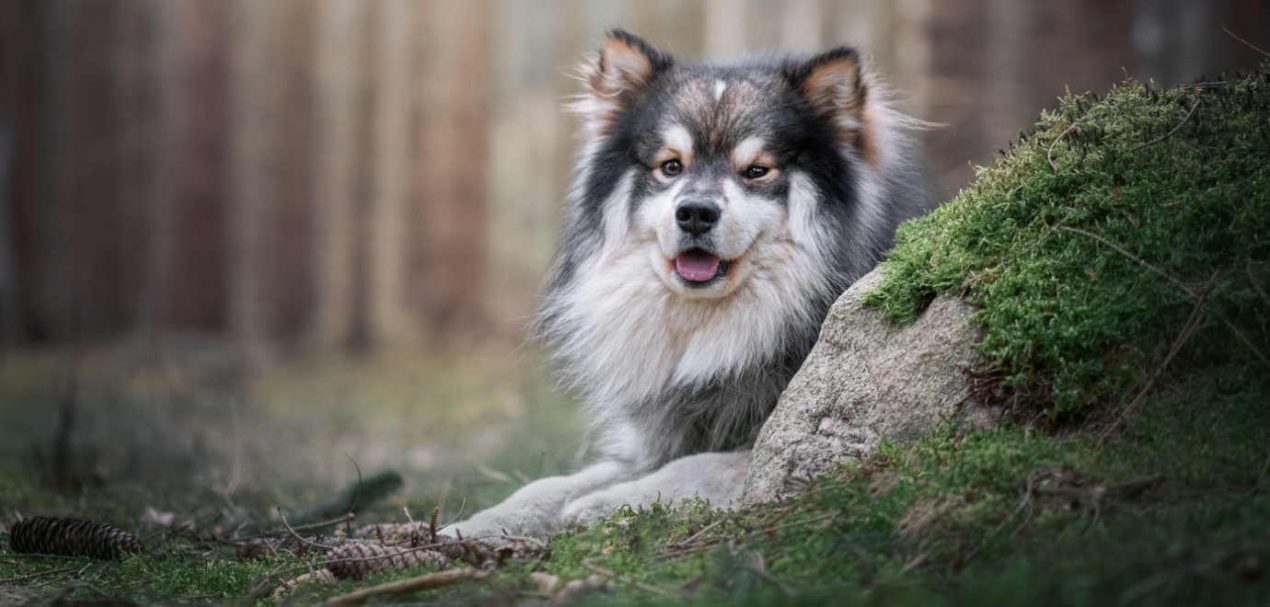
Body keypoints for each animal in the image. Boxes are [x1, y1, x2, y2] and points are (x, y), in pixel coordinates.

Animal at [447, 30, 934, 538]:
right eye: (670, 166)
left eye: (756, 171)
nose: (696, 212)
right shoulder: (654, 440)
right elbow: (546, 486)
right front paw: (469, 526)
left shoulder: (775, 442)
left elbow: (695, 466)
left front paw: (608, 504)